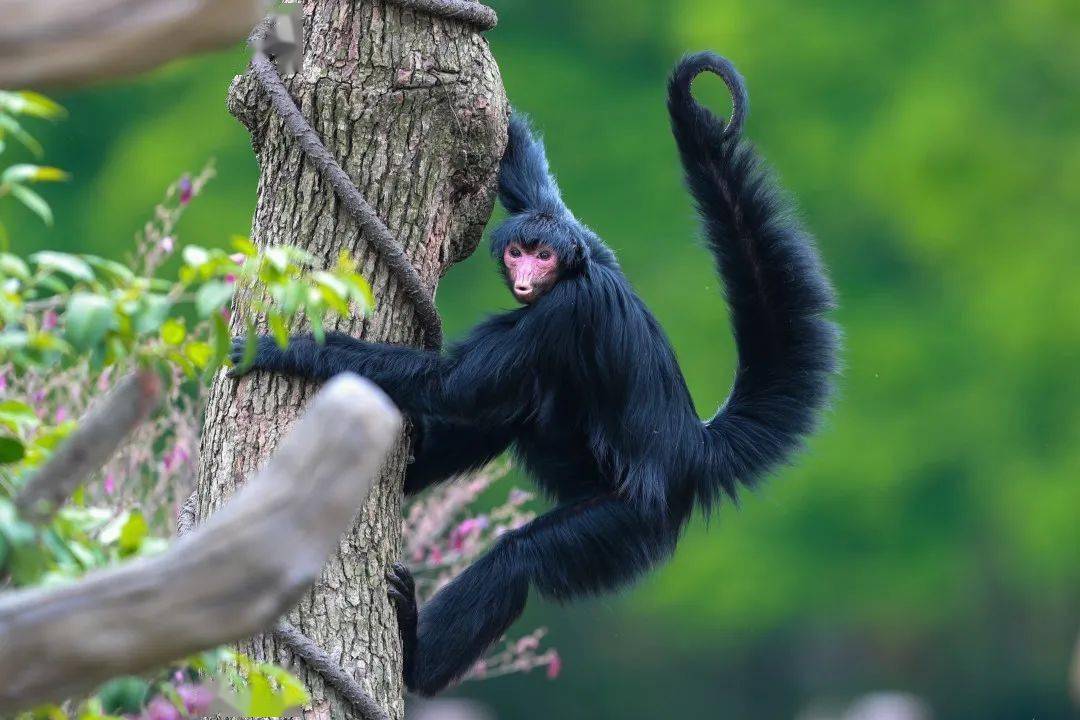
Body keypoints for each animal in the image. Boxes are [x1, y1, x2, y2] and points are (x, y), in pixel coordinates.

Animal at [234, 53, 842, 695]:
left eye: (543, 256)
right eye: (519, 251)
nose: (527, 273)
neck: (577, 271)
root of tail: (691, 448)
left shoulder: (563, 311)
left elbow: (453, 384)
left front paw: (290, 350)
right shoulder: (592, 243)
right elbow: (533, 183)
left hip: (629, 521)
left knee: (517, 552)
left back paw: (418, 658)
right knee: (515, 411)